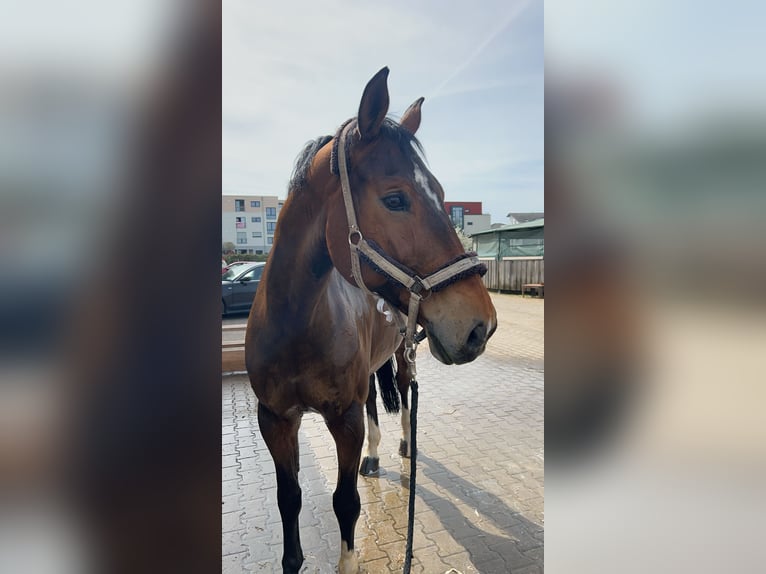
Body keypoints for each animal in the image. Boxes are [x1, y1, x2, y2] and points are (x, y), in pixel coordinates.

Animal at [245, 67, 497, 574]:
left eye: (443, 196)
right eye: (395, 199)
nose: (480, 325)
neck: (296, 326)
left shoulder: (343, 420)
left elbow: (345, 503)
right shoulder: (275, 420)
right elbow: (289, 498)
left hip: (402, 357)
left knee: (400, 400)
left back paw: (401, 448)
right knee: (376, 406)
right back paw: (376, 456)